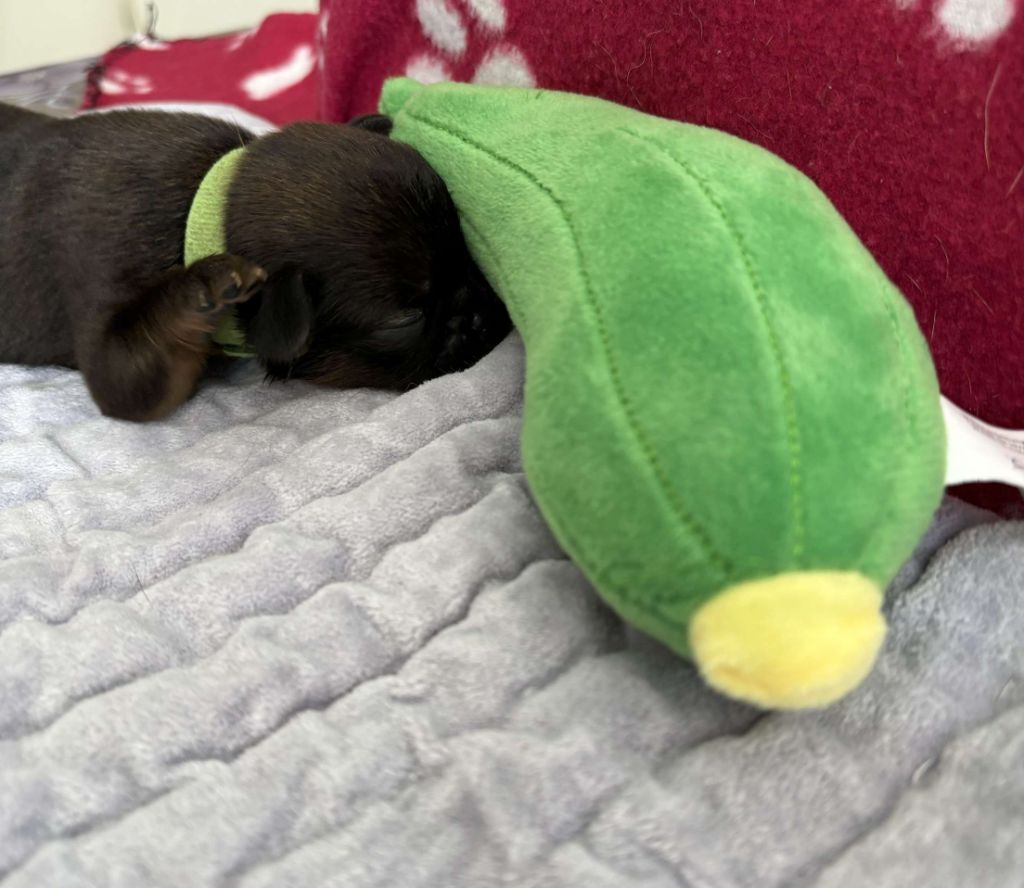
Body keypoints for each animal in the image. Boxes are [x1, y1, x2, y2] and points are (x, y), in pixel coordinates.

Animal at [0, 103, 510, 421]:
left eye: (466, 250)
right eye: (404, 319)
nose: (484, 313)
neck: (207, 203)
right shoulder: (114, 328)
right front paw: (203, 283)